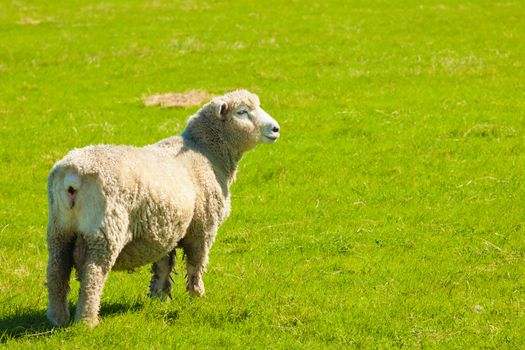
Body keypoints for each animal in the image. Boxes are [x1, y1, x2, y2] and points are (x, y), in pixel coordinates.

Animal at [47, 89, 280, 326]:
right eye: (242, 112)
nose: (275, 129)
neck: (206, 151)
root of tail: (73, 176)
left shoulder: (165, 228)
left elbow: (163, 265)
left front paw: (160, 296)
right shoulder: (202, 228)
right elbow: (196, 265)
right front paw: (197, 296)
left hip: (59, 231)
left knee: (56, 274)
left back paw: (58, 319)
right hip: (104, 231)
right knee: (93, 276)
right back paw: (87, 322)